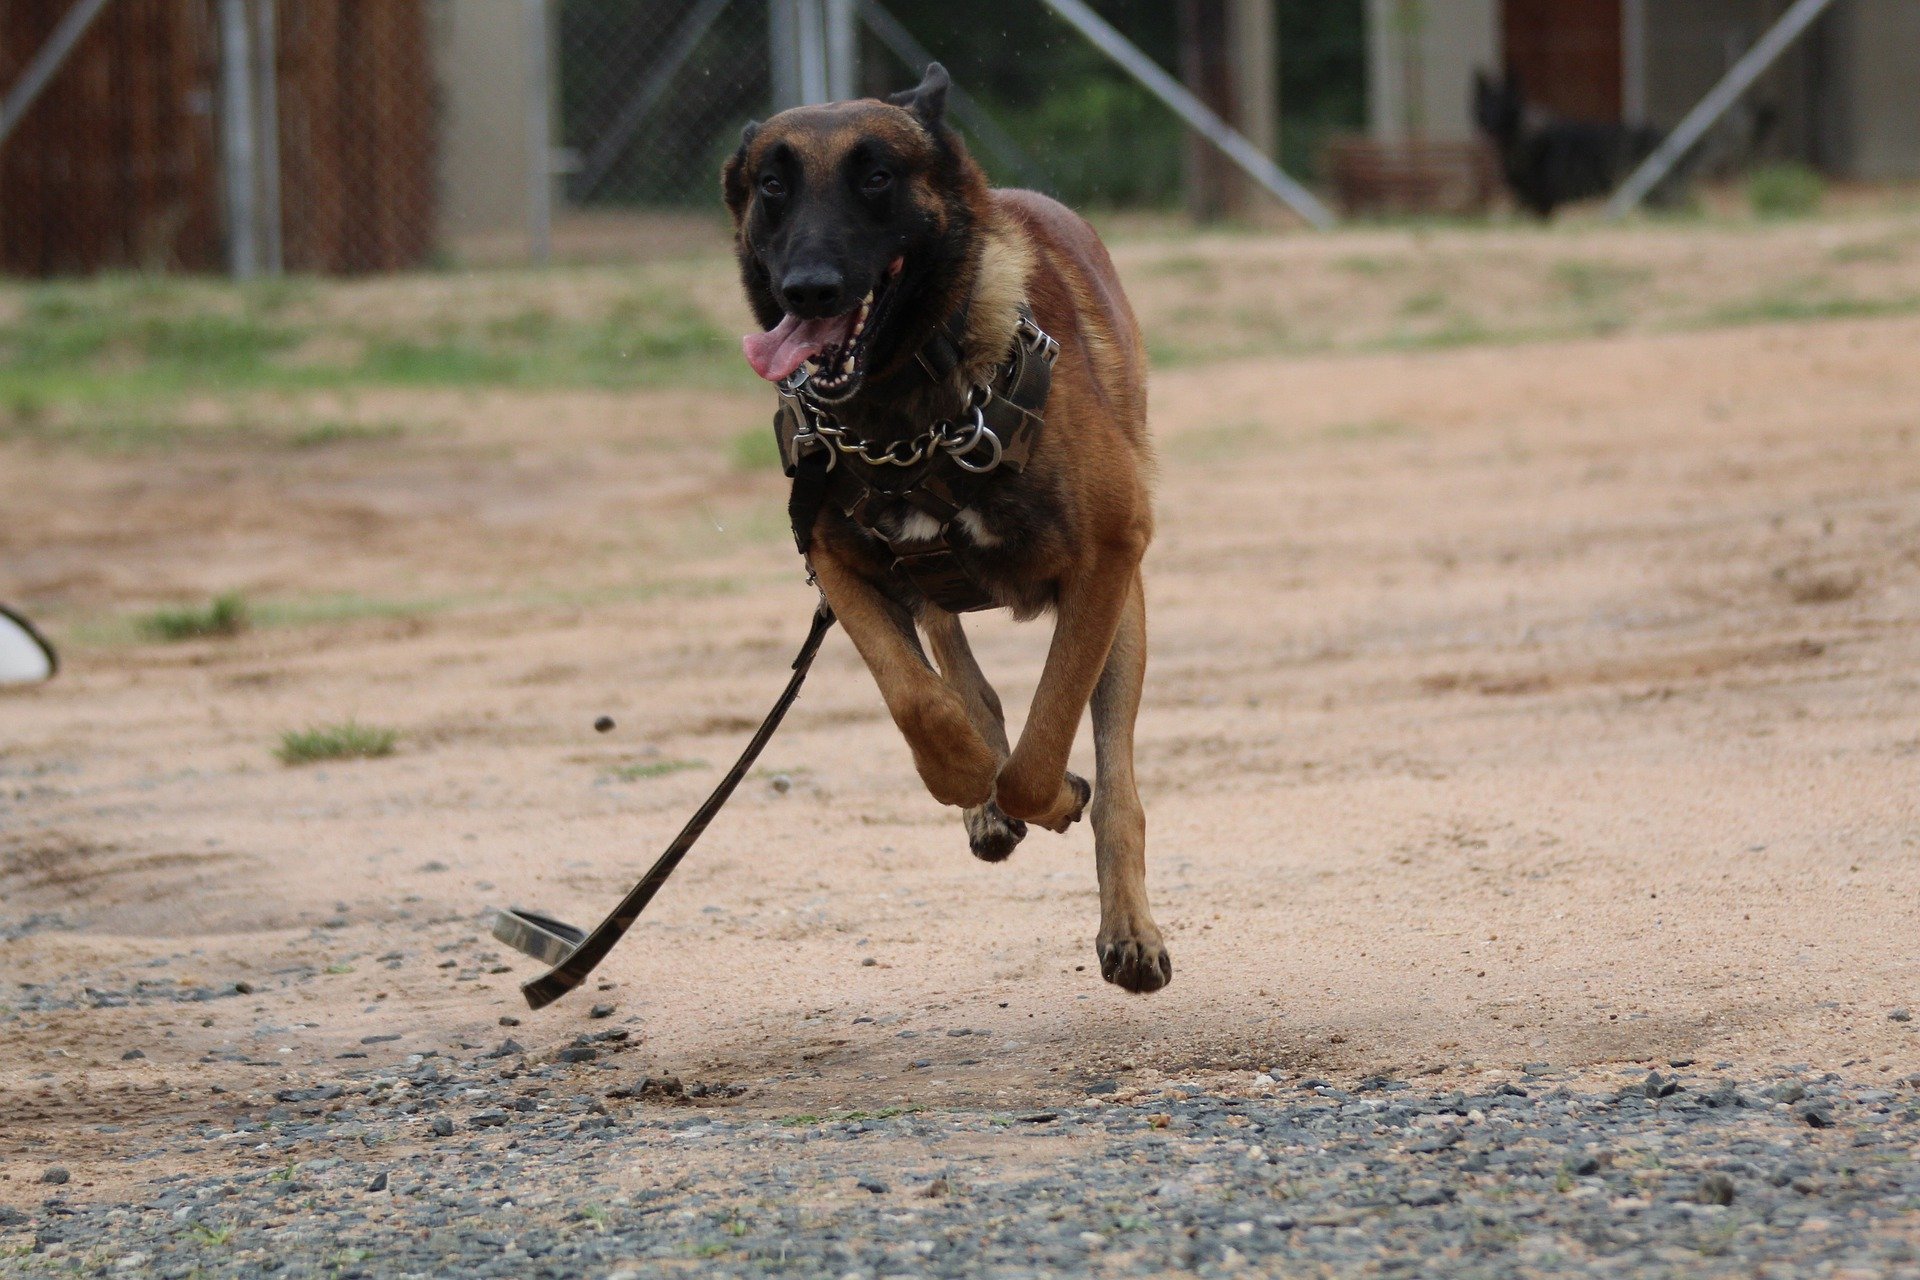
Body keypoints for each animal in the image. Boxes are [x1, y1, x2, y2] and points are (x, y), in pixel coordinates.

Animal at [721, 65, 1159, 997]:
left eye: (878, 176)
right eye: (773, 185)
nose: (808, 289)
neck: (905, 413)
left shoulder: (1103, 566)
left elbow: (1045, 746)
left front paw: (1046, 793)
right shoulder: (834, 562)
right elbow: (920, 700)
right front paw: (964, 776)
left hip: (1128, 606)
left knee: (1119, 777)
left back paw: (1129, 926)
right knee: (958, 667)